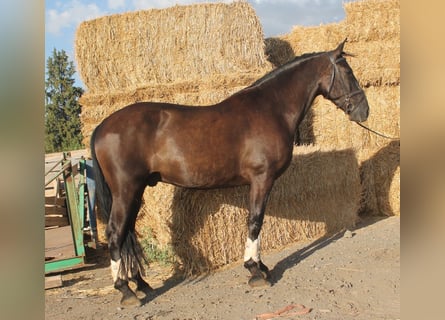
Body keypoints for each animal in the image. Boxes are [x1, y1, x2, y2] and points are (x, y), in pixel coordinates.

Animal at [89, 38, 368, 306]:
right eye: (348, 72)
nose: (364, 110)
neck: (270, 108)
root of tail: (102, 126)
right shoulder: (261, 179)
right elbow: (255, 221)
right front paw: (255, 271)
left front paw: (261, 266)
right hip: (126, 192)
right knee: (115, 233)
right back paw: (125, 290)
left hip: (136, 193)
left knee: (127, 233)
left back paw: (141, 284)